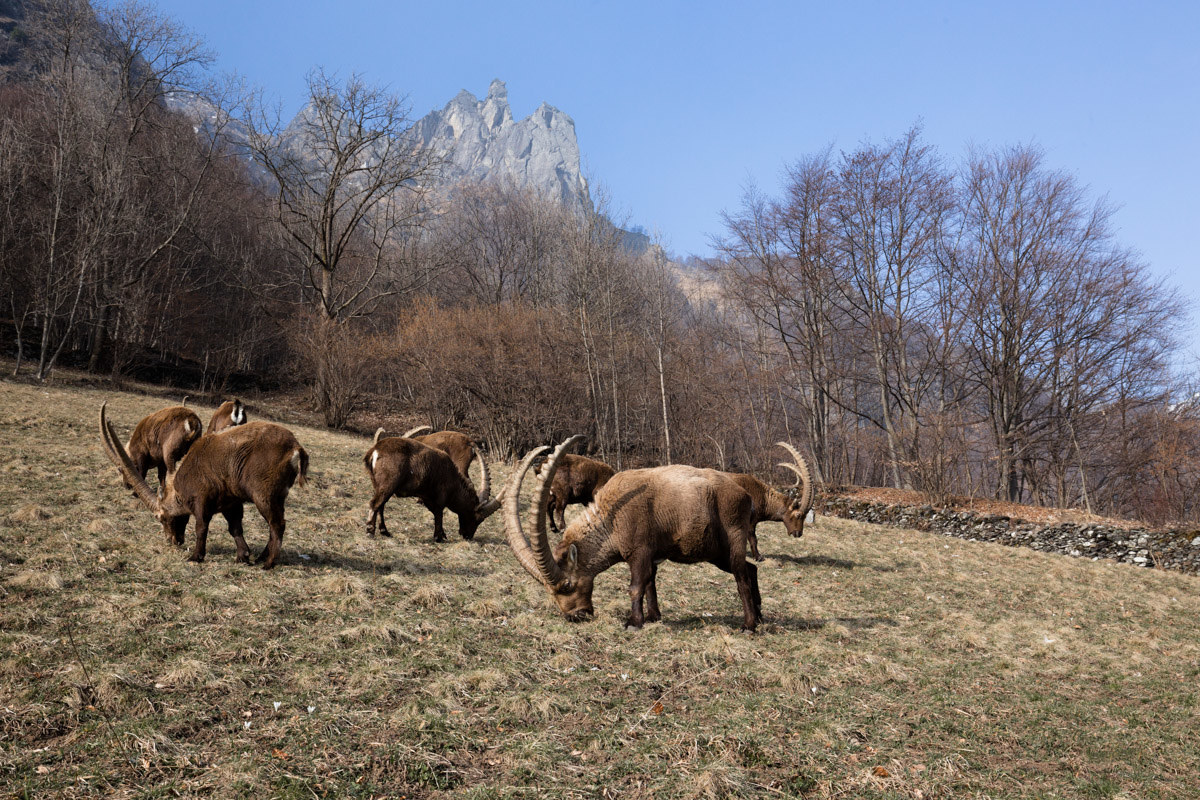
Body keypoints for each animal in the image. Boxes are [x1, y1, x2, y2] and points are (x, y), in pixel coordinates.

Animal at [99, 402, 308, 570]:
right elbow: (235, 528)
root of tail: (296, 448)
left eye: (162, 518)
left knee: (277, 524)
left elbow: (201, 527)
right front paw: (243, 556)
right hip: (277, 497)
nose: (172, 541)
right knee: (275, 525)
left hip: (264, 496)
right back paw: (261, 558)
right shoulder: (231, 503)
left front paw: (196, 556)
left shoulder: (202, 500)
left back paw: (269, 563)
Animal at [364, 435, 499, 542]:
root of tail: (375, 451)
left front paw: (442, 534)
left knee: (381, 506)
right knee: (375, 503)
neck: (452, 477)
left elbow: (434, 512)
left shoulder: (426, 496)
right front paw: (438, 537)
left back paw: (384, 531)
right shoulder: (440, 496)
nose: (468, 536)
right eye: (477, 518)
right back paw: (370, 531)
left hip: (378, 485)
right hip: (388, 485)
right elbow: (439, 513)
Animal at [503, 436, 762, 631]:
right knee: (750, 569)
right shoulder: (652, 556)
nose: (576, 616)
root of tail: (745, 496)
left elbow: (636, 585)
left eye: (567, 585)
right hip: (716, 553)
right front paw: (653, 617)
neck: (612, 520)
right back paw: (759, 616)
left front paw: (633, 623)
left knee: (741, 578)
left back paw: (749, 625)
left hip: (733, 538)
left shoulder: (639, 551)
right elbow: (649, 583)